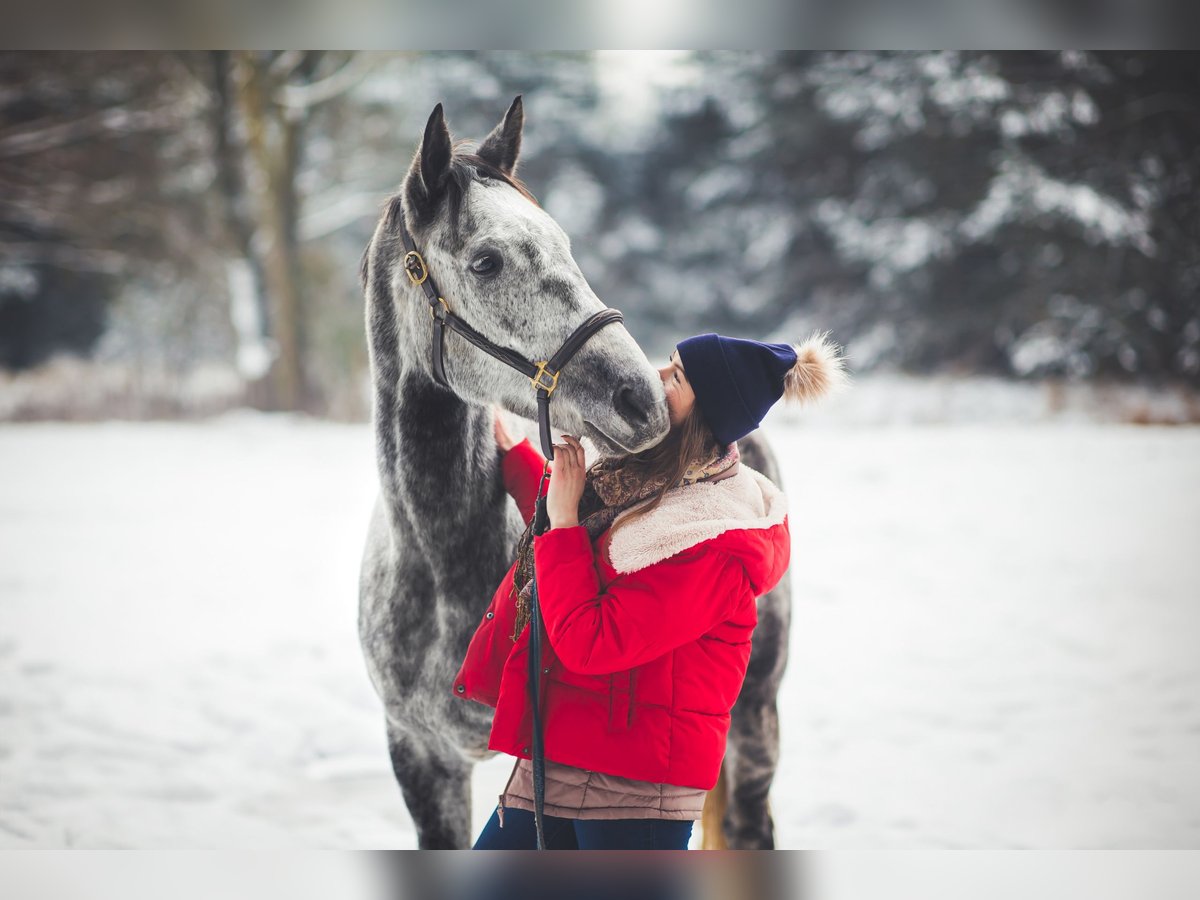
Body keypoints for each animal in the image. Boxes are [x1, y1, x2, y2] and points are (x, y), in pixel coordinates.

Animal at [355, 98, 792, 854]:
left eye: (565, 243)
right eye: (486, 260)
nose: (641, 399)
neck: (439, 561)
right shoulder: (421, 757)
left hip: (755, 715)